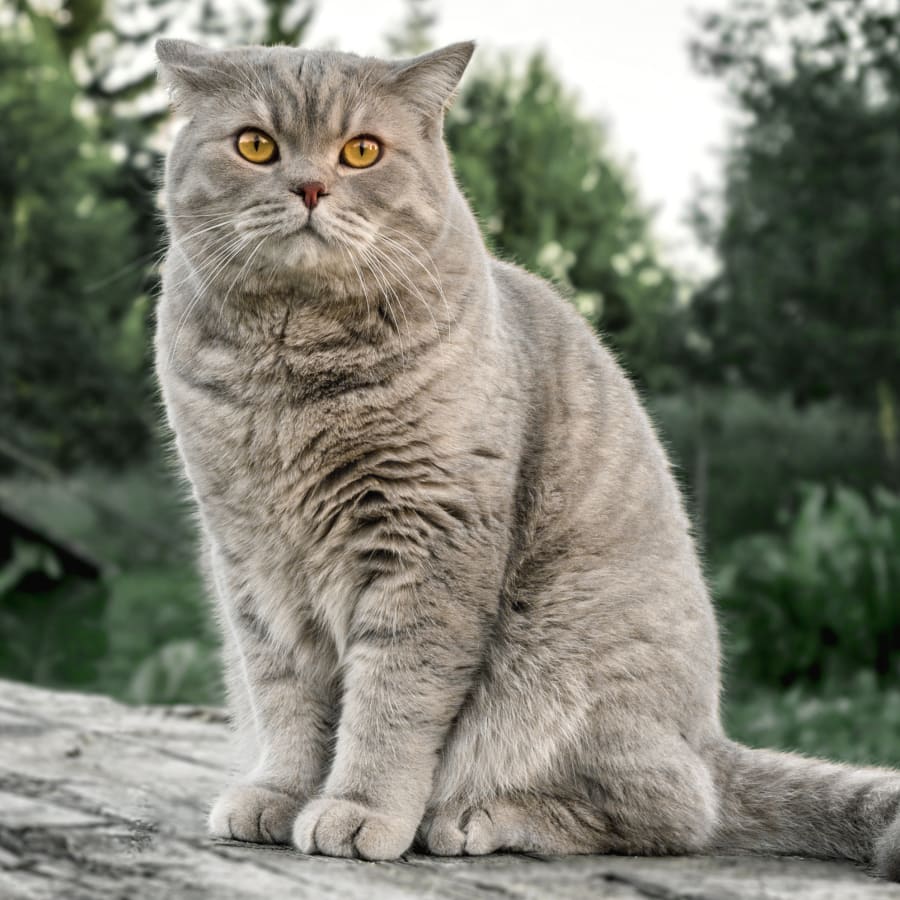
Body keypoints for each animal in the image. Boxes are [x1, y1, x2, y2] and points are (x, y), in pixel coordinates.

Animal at [153, 38, 900, 876]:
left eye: (362, 151)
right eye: (255, 145)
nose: (310, 185)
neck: (292, 371)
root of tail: (710, 739)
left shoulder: (423, 544)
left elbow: (390, 702)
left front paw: (359, 809)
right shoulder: (252, 561)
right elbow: (284, 695)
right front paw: (279, 793)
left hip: (562, 664)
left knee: (674, 808)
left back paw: (476, 817)